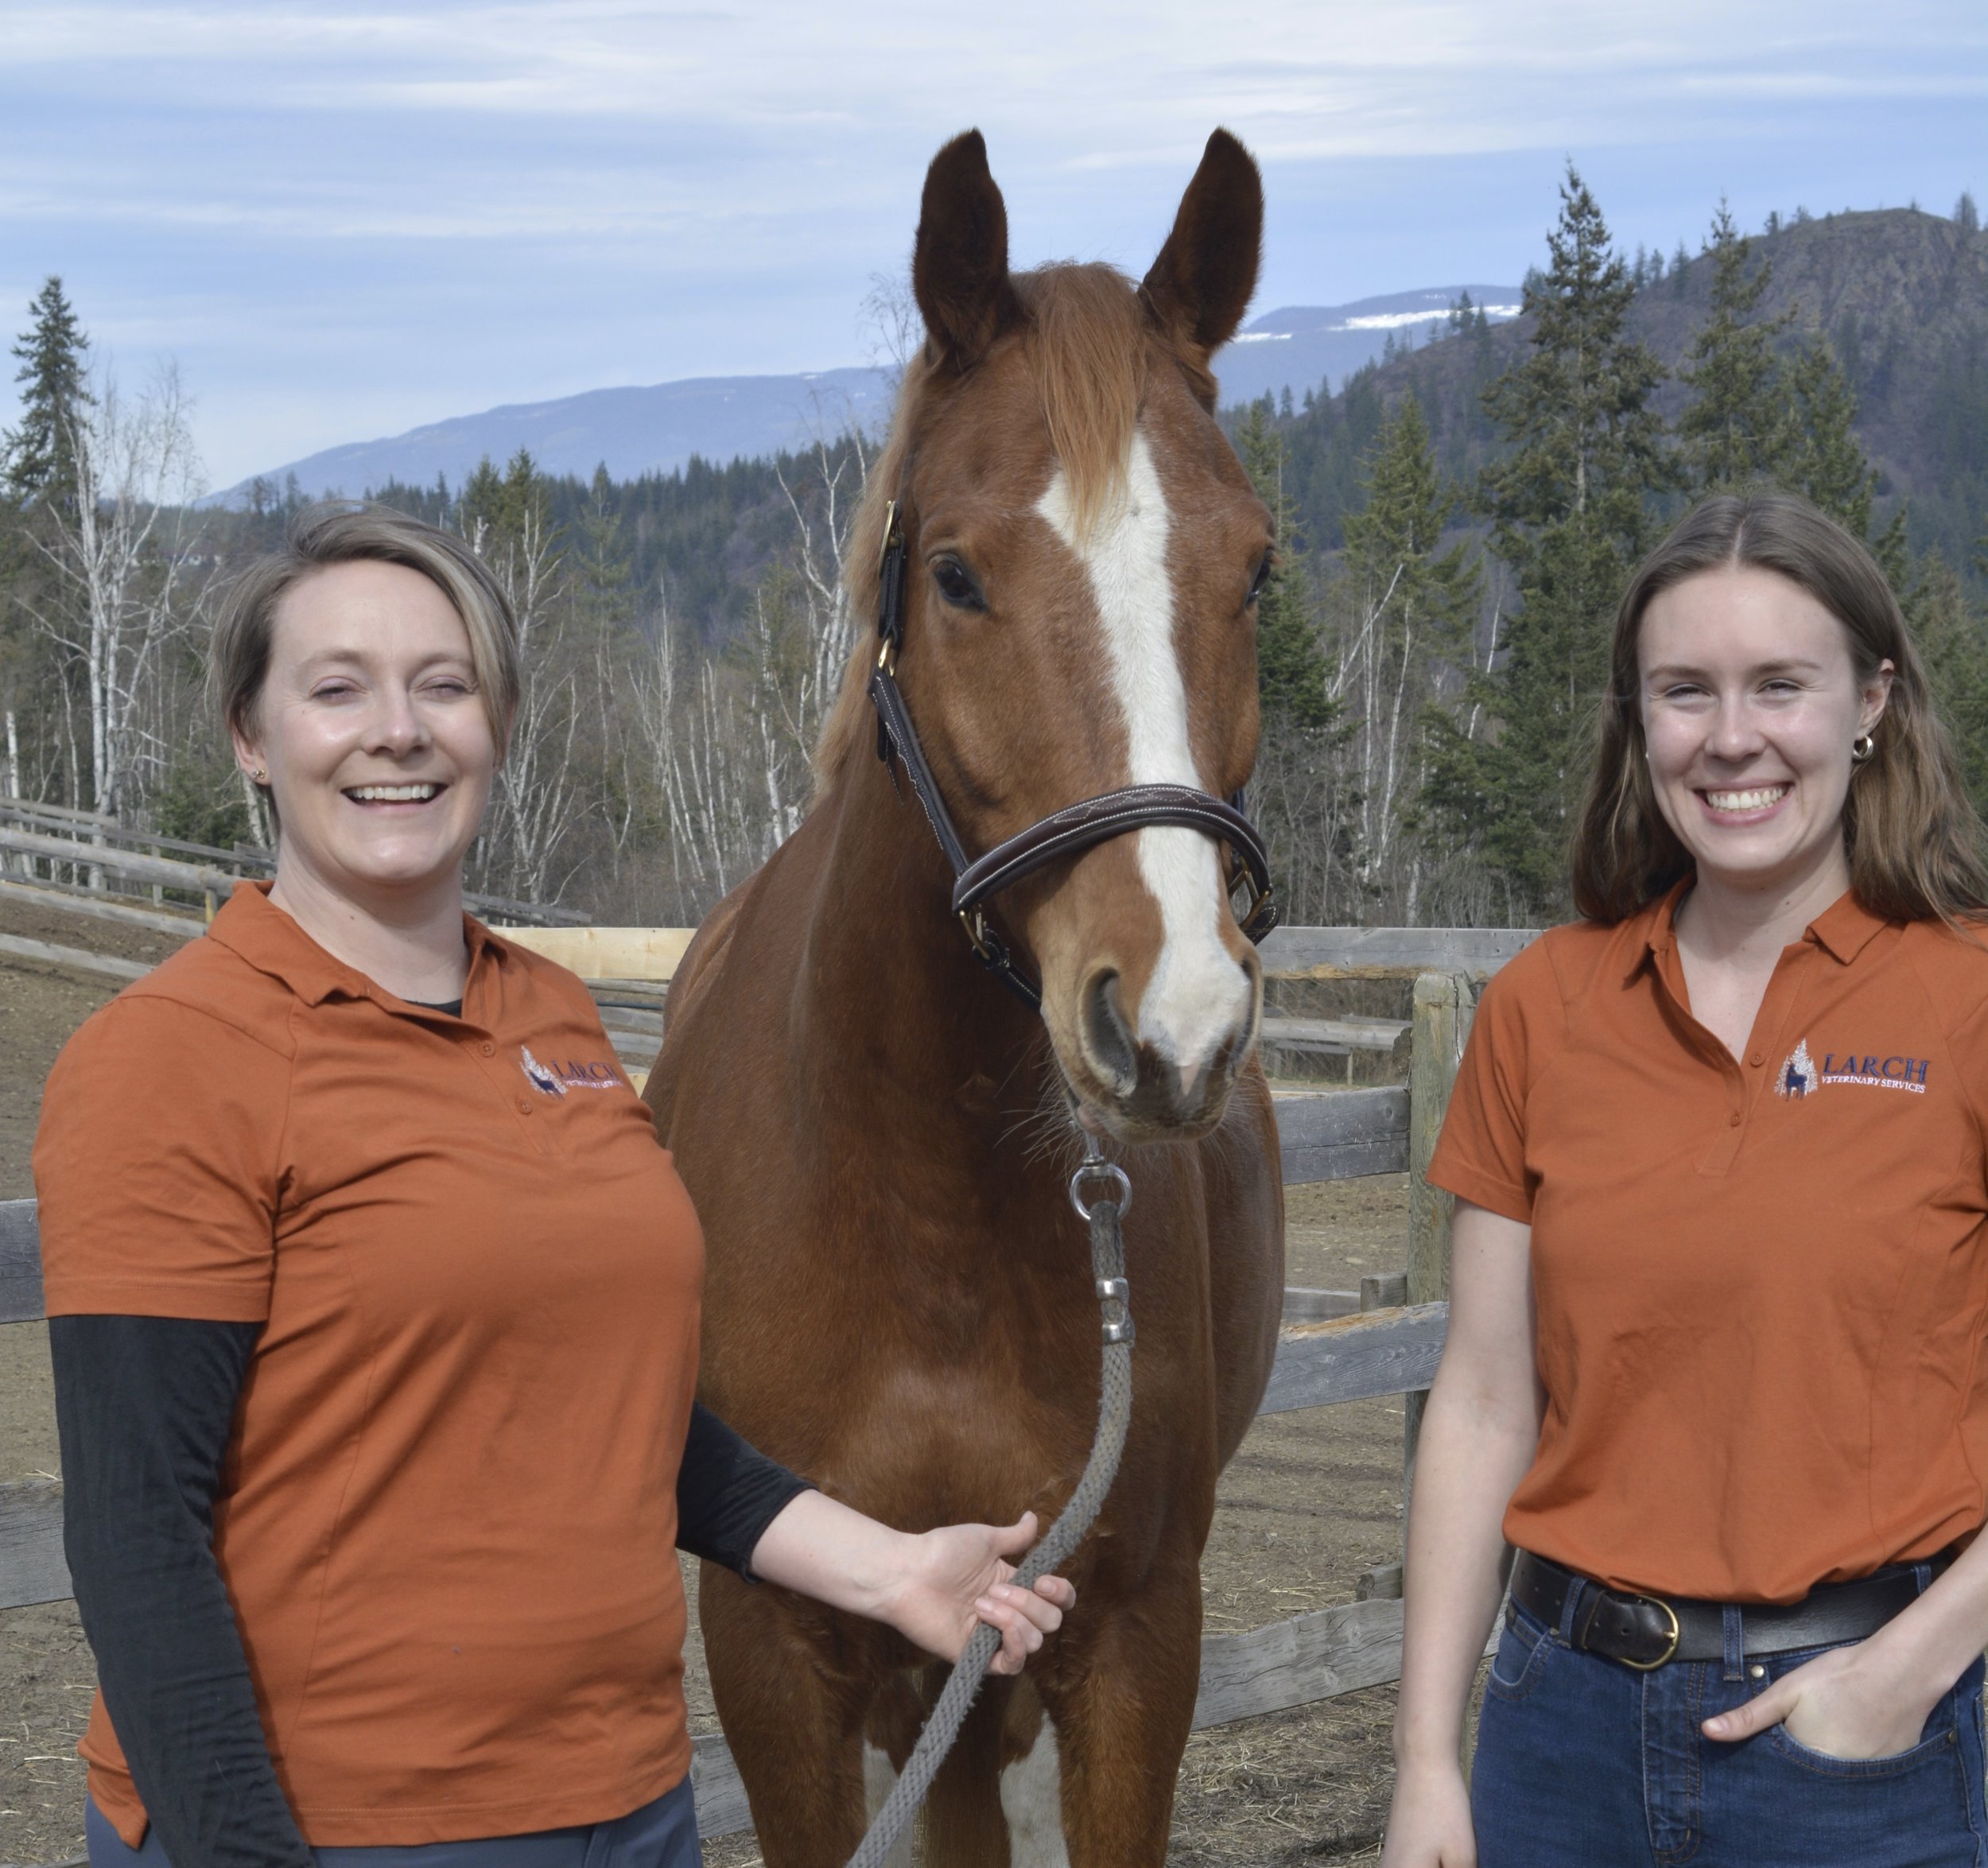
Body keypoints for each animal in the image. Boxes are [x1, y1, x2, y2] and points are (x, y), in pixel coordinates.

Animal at [644, 126, 1285, 1866]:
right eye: (953, 575)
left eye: (1254, 572)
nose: (1174, 1024)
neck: (926, 1209)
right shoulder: (779, 1656)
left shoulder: (1131, 1635)